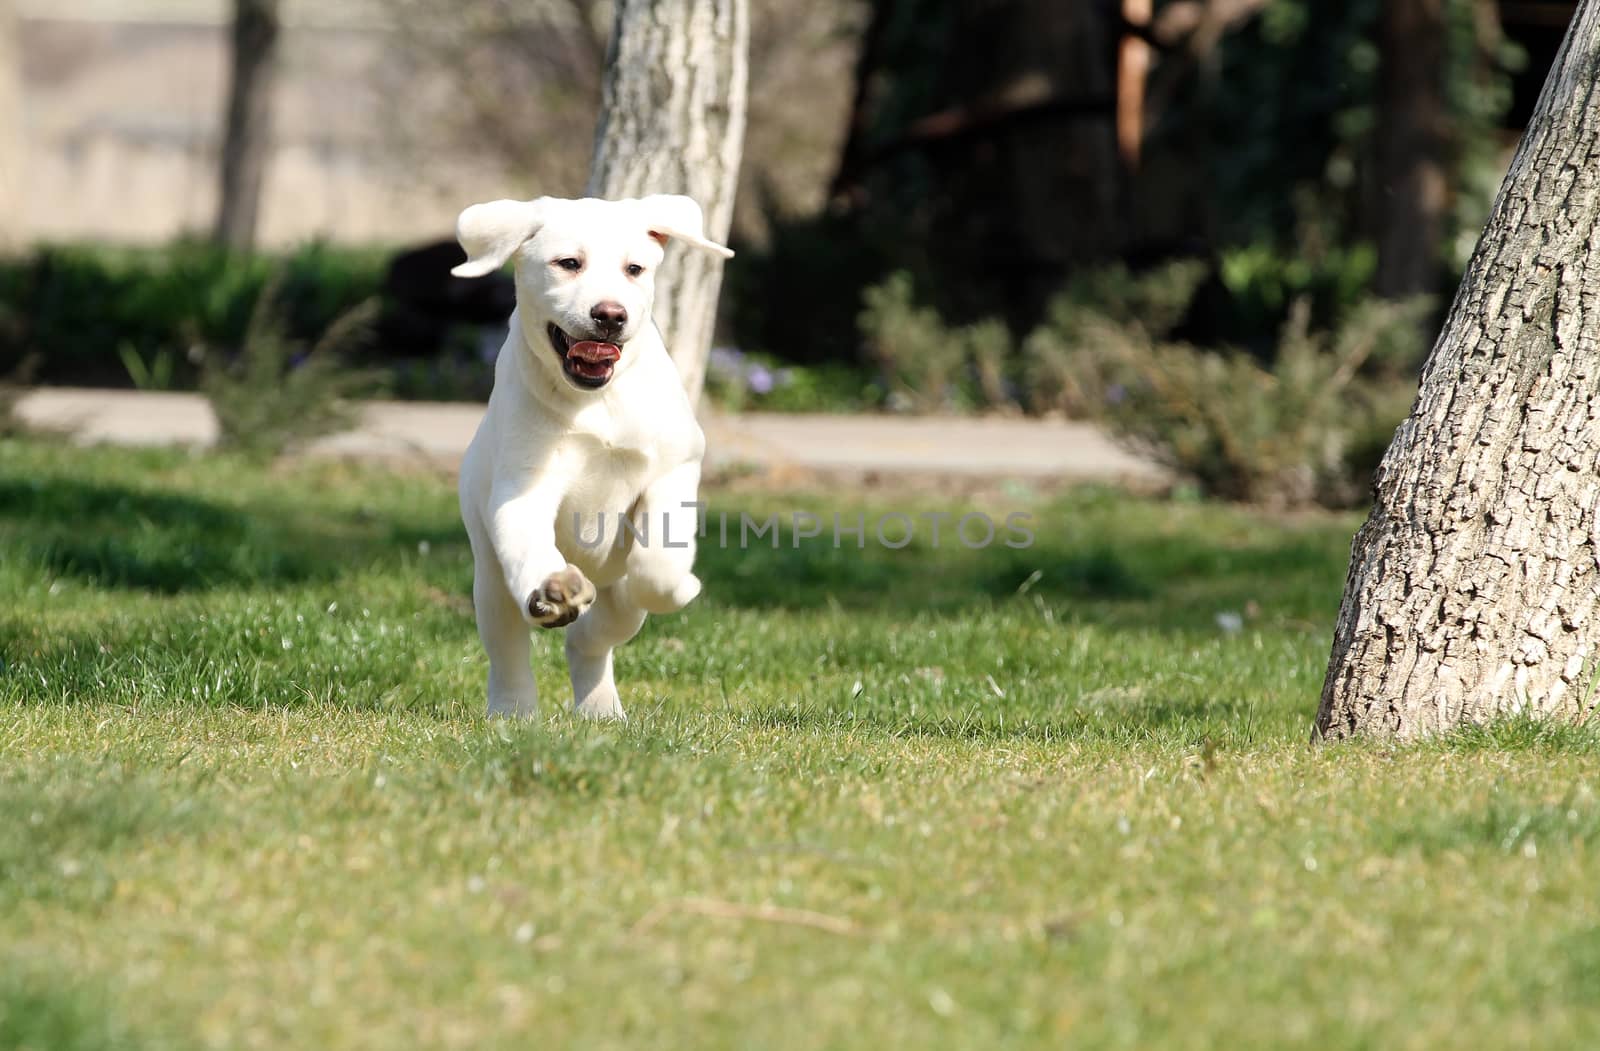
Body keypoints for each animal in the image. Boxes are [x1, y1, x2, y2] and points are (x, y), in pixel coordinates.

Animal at [454, 192, 732, 716]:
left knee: (594, 635)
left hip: (615, 600)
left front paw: (681, 584)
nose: (610, 314)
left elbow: (657, 562)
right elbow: (529, 544)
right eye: (568, 264)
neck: (596, 401)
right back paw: (514, 711)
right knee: (509, 650)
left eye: (635, 269)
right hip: (490, 582)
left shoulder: (675, 467)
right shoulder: (522, 490)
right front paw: (551, 590)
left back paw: (601, 710)